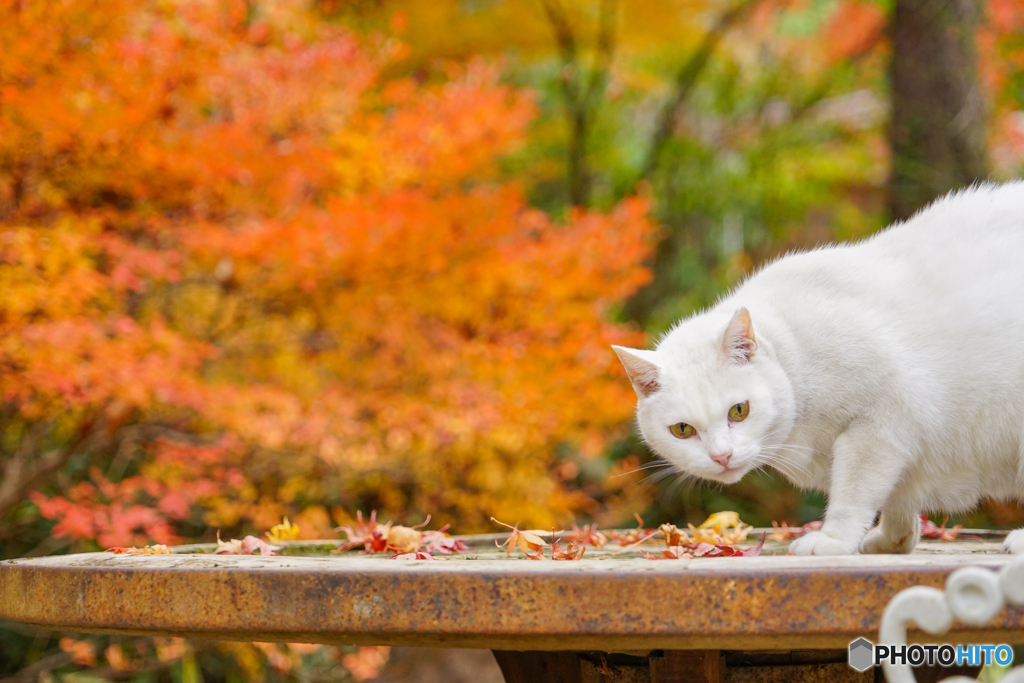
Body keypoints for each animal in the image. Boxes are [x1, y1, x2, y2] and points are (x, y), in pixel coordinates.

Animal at [610, 181, 1024, 557]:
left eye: (739, 411)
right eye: (682, 430)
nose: (721, 457)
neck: (796, 361)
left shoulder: (882, 424)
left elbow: (854, 494)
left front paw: (834, 540)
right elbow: (898, 498)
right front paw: (894, 540)